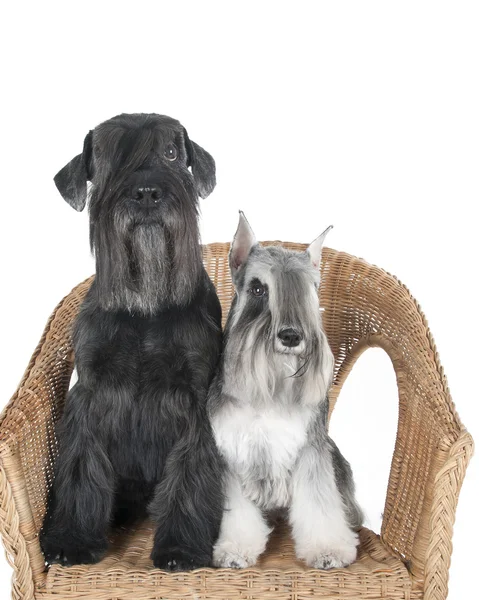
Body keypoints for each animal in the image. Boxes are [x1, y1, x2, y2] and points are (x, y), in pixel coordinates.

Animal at [39, 113, 223, 572]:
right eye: (109, 156)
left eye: (172, 152)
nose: (146, 193)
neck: (145, 306)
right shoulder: (90, 393)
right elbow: (81, 468)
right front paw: (71, 539)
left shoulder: (195, 400)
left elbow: (190, 472)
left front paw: (180, 549)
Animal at [208, 213, 362, 568]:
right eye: (258, 288)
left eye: (309, 290)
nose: (291, 336)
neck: (271, 387)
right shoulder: (231, 454)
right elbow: (238, 512)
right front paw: (235, 549)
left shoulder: (310, 450)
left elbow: (320, 504)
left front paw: (328, 549)